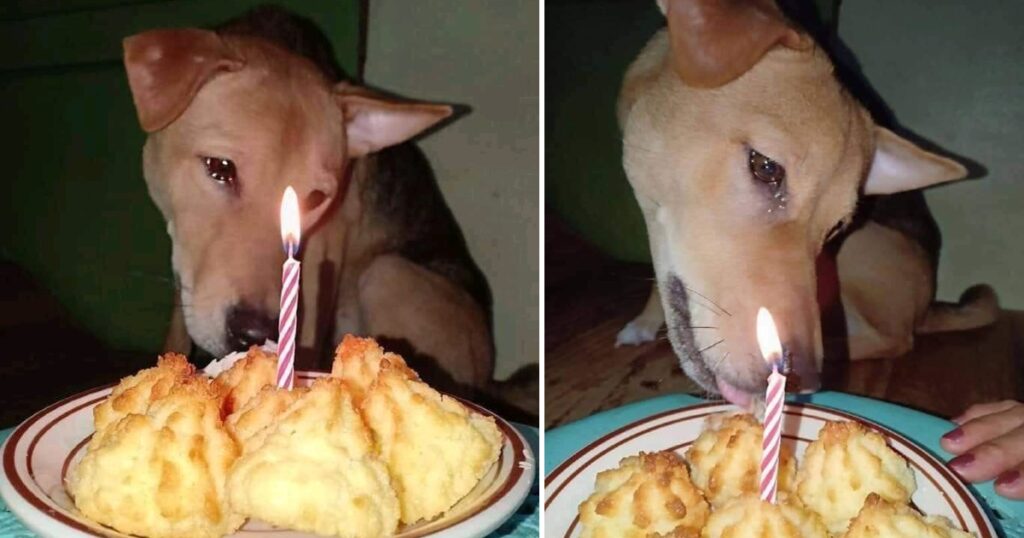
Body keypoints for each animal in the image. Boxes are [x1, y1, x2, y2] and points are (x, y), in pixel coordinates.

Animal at [610, 0, 995, 407]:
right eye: (765, 167)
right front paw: (645, 321)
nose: (801, 380)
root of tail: (927, 307)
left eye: (837, 226)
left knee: (894, 339)